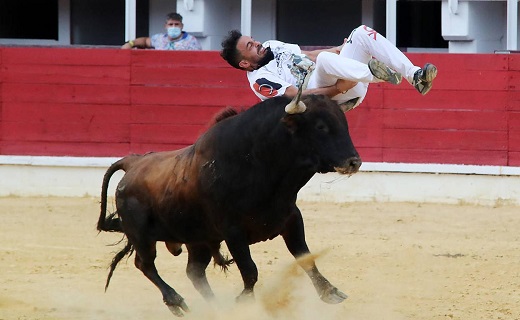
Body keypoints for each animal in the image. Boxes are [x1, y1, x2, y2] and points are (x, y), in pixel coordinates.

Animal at [97, 94, 362, 316]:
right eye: (321, 127)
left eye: (345, 124)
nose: (354, 162)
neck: (261, 165)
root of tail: (133, 163)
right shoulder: (232, 231)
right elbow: (250, 270)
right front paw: (244, 303)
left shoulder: (291, 219)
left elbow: (305, 258)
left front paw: (330, 292)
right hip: (142, 236)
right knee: (145, 264)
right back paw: (176, 302)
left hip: (198, 239)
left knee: (194, 271)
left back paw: (215, 307)